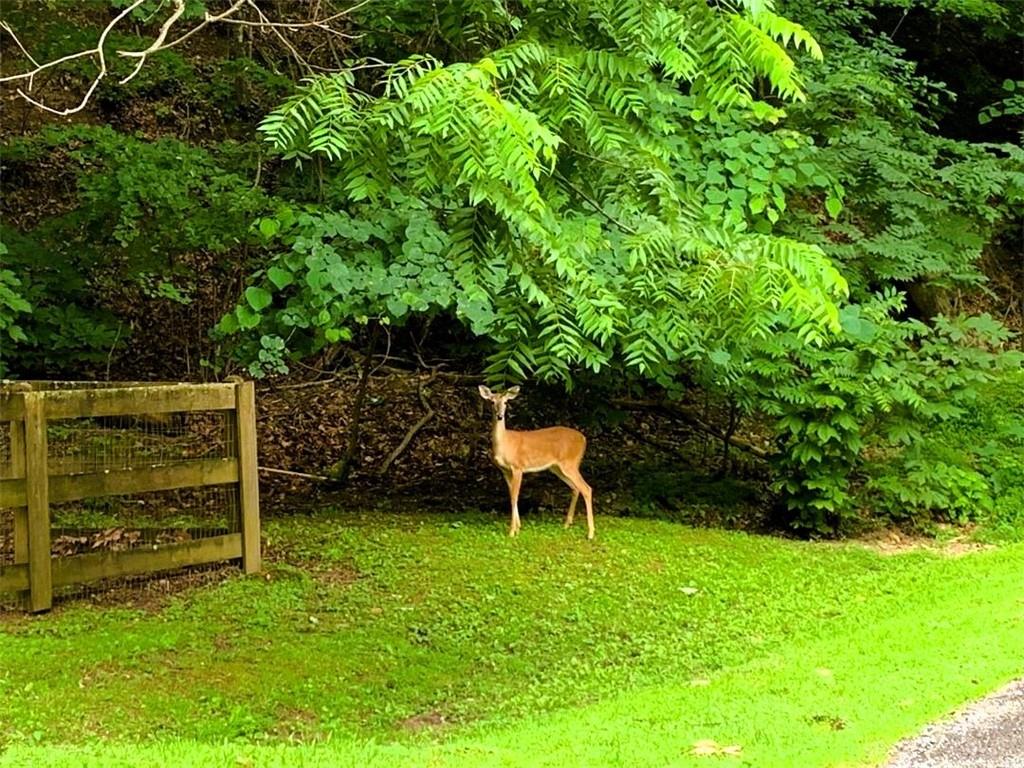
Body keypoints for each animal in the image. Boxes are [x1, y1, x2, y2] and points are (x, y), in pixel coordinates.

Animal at [477, 385, 598, 540]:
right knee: (576, 488)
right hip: (557, 467)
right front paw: (518, 527)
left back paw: (590, 533)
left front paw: (512, 531)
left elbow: (515, 496)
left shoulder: (518, 467)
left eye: (506, 402)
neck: (504, 444)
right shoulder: (505, 471)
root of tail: (584, 439)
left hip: (570, 462)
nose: (500, 416)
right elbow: (511, 495)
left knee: (586, 488)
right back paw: (567, 524)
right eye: (492, 402)